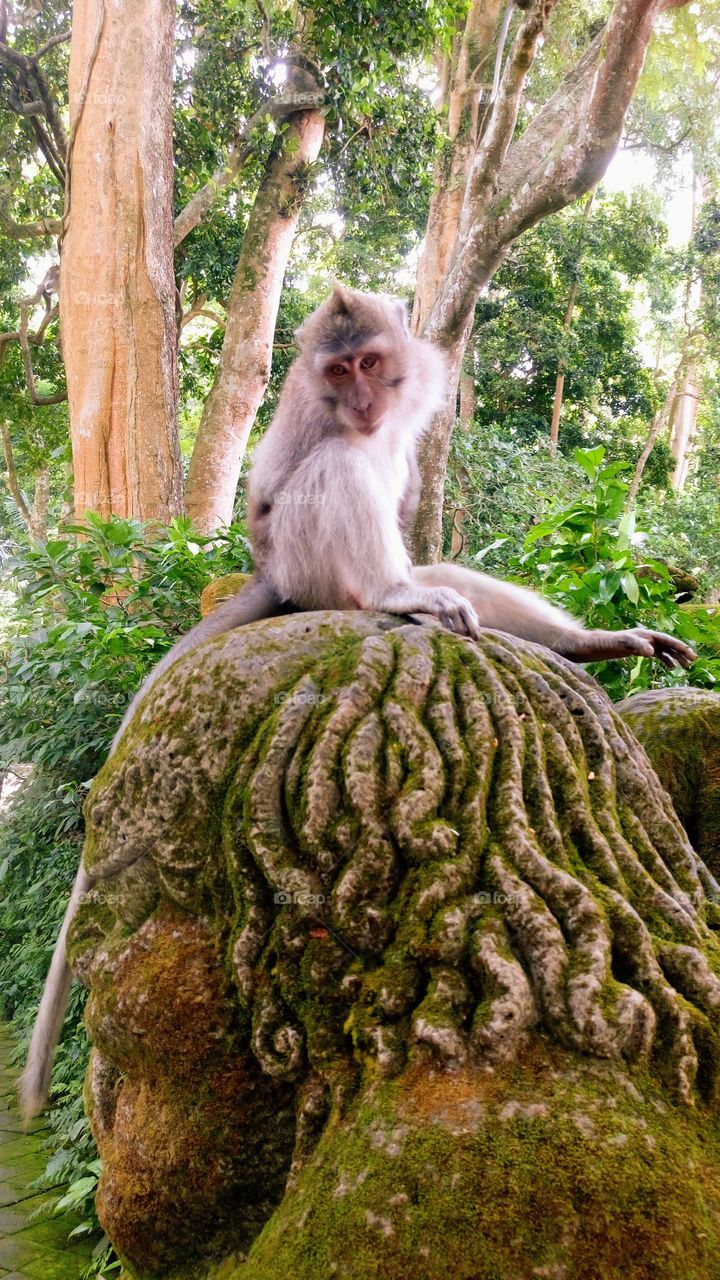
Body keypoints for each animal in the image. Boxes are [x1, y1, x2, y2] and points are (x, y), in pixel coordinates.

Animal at [20, 282, 696, 1121]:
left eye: (371, 362)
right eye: (338, 372)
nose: (364, 399)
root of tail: (276, 581)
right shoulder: (302, 429)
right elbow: (287, 482)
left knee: (437, 565)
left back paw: (569, 642)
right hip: (306, 564)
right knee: (342, 476)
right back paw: (393, 594)